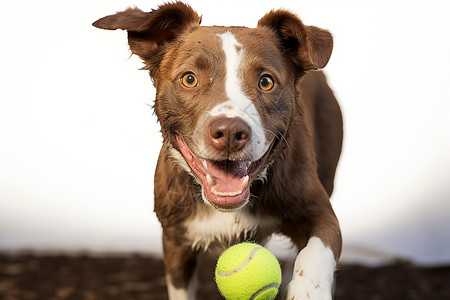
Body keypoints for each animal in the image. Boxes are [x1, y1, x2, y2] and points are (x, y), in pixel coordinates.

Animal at [93, 2, 342, 300]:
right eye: (189, 79)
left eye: (266, 82)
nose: (230, 133)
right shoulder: (175, 240)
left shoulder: (319, 211)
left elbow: (315, 252)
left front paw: (306, 291)